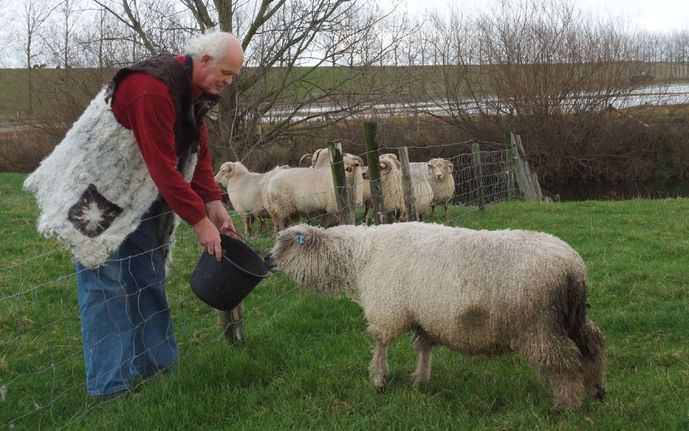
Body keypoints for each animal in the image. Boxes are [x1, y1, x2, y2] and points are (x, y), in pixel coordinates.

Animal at [266, 223, 604, 412]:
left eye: (284, 244)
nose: (267, 259)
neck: (358, 257)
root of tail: (573, 268)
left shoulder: (386, 309)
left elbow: (380, 343)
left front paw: (378, 379)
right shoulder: (421, 314)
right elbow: (424, 347)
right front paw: (421, 380)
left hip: (538, 325)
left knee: (563, 362)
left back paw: (566, 405)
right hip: (571, 318)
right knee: (593, 344)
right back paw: (596, 389)